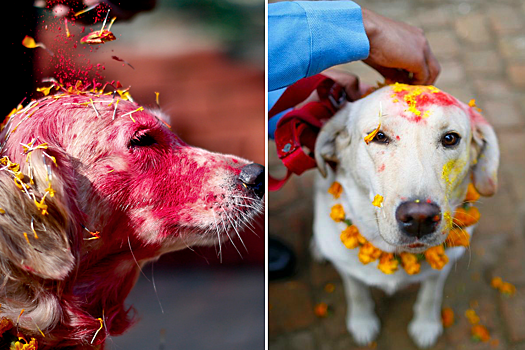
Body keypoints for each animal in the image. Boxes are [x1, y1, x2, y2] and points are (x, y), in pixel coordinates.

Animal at [312, 84, 500, 348]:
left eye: (450, 138)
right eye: (379, 136)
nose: (420, 218)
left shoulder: (441, 267)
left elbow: (431, 295)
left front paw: (426, 324)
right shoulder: (347, 269)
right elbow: (356, 293)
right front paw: (362, 322)